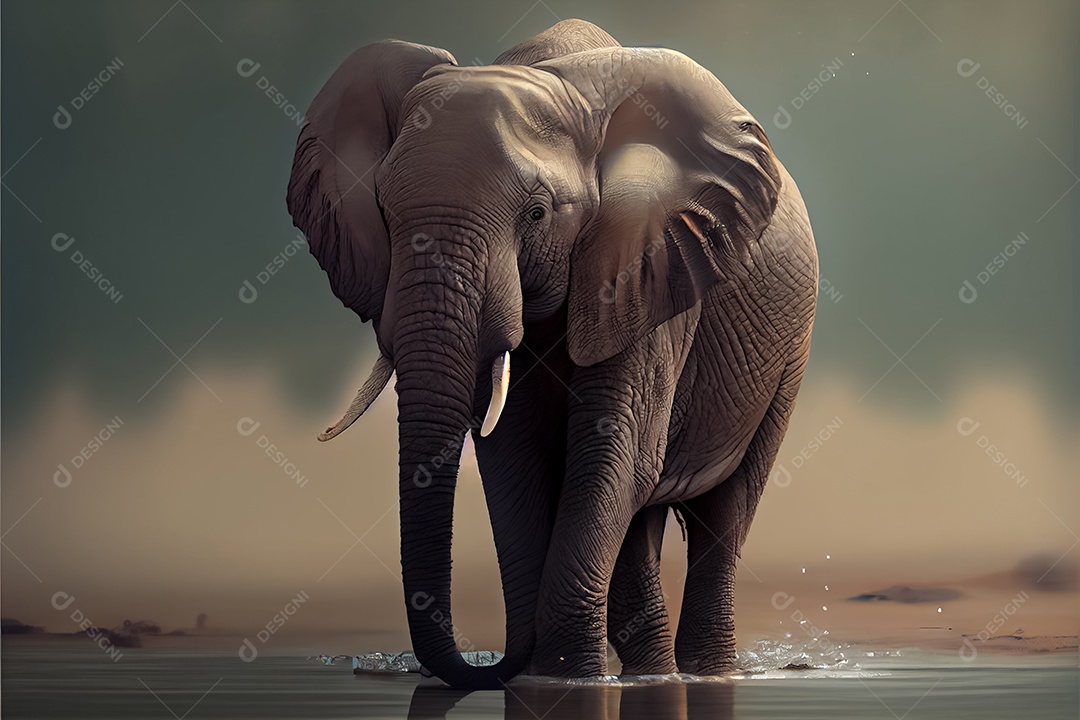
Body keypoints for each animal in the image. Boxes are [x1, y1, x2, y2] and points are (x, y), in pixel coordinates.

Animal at [286, 19, 817, 690]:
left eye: (536, 214)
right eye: (382, 208)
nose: (491, 665)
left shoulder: (648, 265)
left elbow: (610, 451)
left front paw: (563, 681)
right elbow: (514, 454)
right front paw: (553, 676)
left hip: (788, 357)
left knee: (724, 509)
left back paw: (702, 674)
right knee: (640, 520)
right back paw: (651, 674)